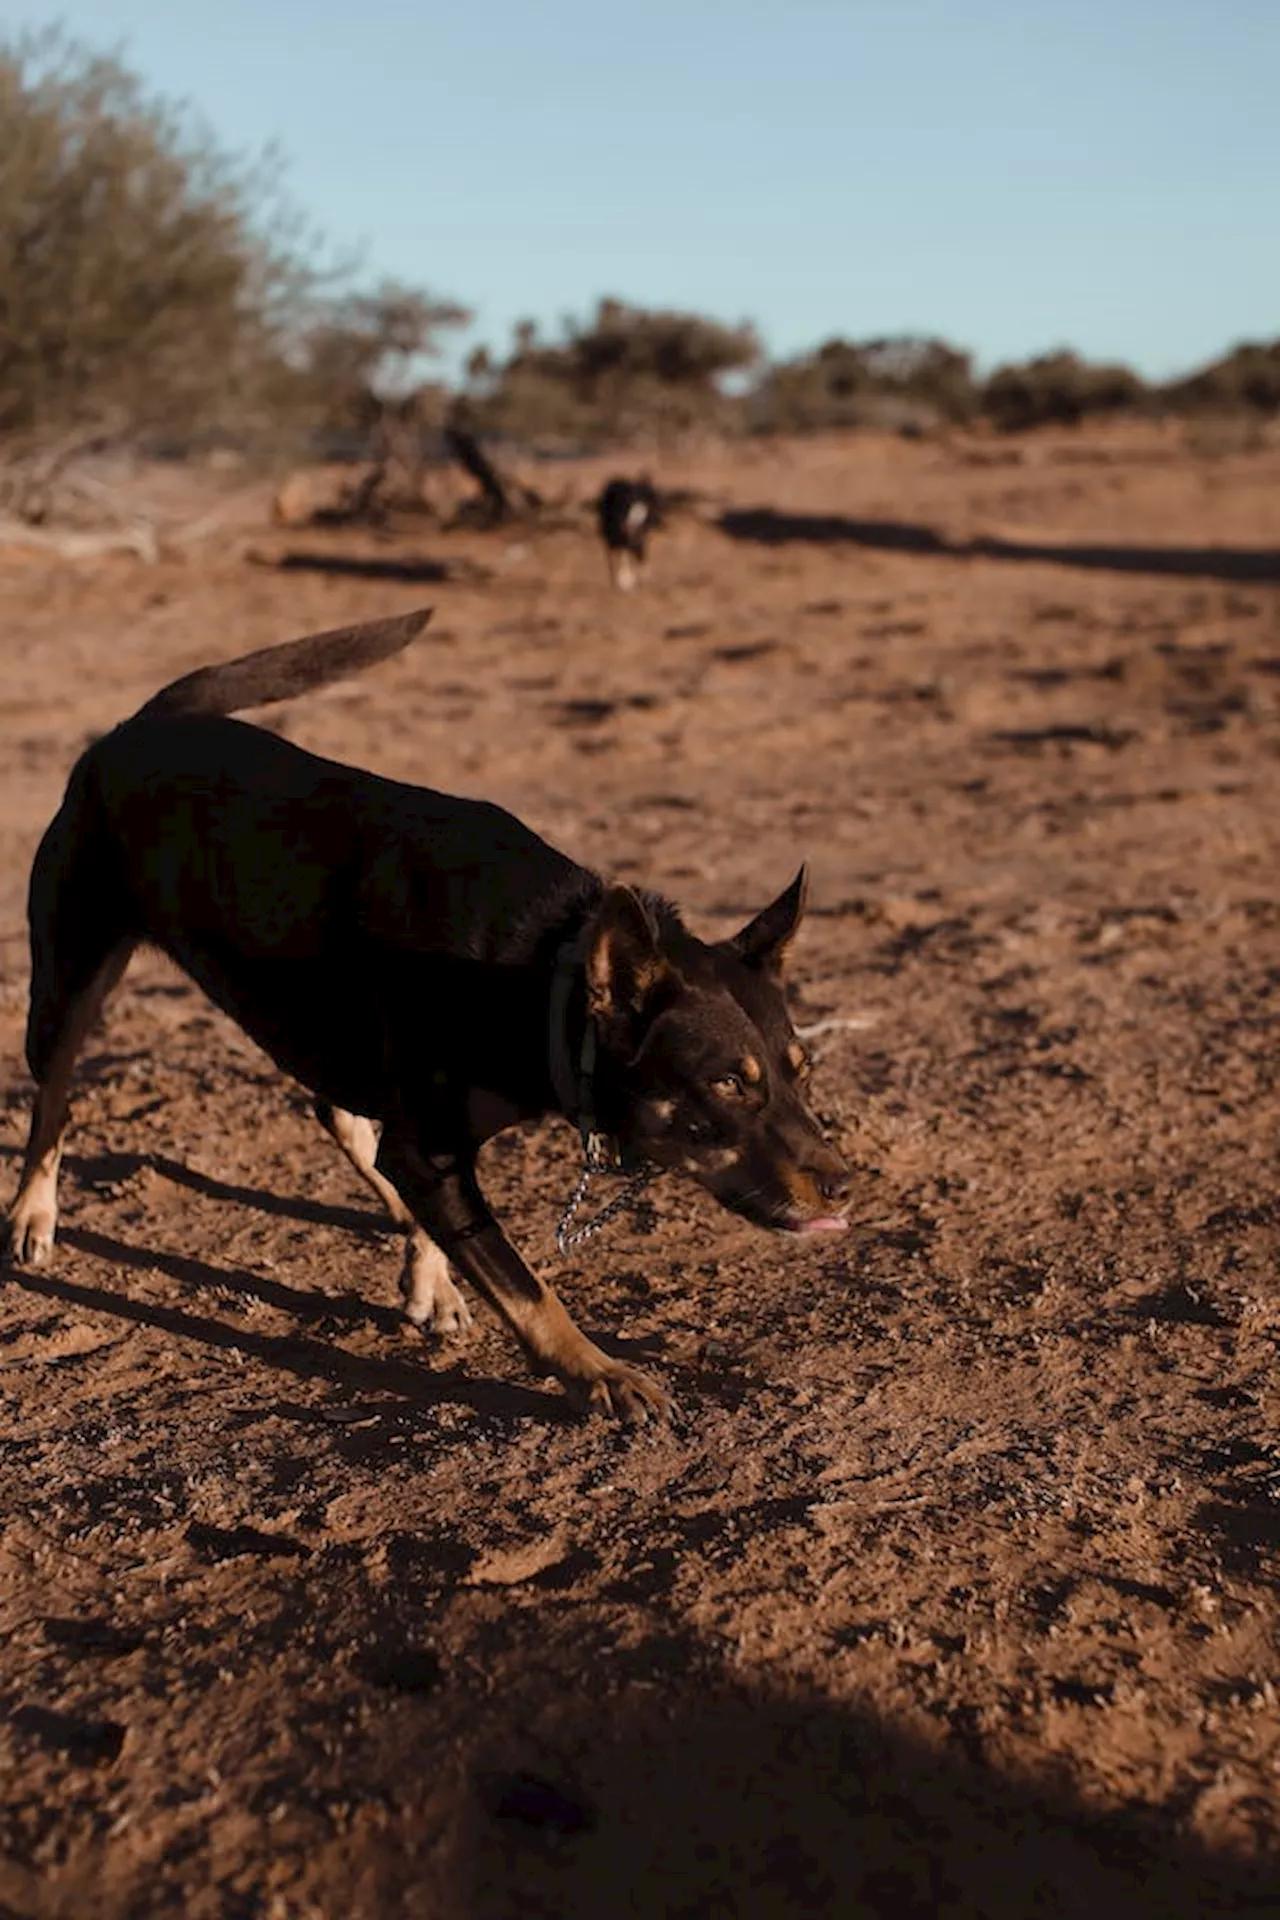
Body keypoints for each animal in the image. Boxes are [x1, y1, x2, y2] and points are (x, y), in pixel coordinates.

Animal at [10, 606, 855, 1420]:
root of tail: (147, 721)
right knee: (53, 1103)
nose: (846, 1187)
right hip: (70, 979)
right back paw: (31, 1215)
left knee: (344, 1119)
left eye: (804, 1073)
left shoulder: (425, 1135)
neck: (539, 970)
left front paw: (438, 1275)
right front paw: (601, 1376)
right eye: (727, 1084)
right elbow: (528, 1287)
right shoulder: (433, 1145)